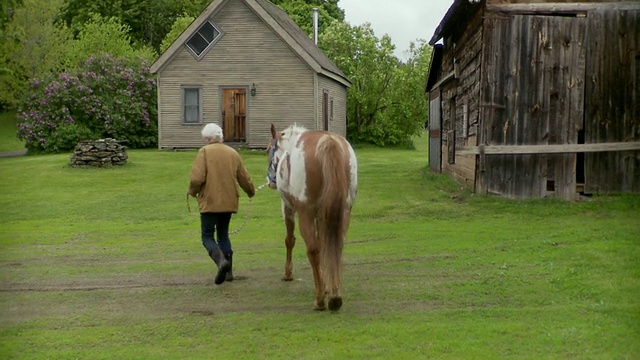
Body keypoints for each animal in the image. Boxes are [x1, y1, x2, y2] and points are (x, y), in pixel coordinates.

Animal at [264, 125, 356, 310]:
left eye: (268, 149)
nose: (270, 182)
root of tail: (329, 142)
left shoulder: (288, 207)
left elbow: (290, 240)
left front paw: (288, 272)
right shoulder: (322, 215)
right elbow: (323, 246)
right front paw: (326, 285)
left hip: (305, 213)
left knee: (312, 250)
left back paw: (320, 299)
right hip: (343, 212)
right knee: (335, 247)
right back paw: (334, 295)